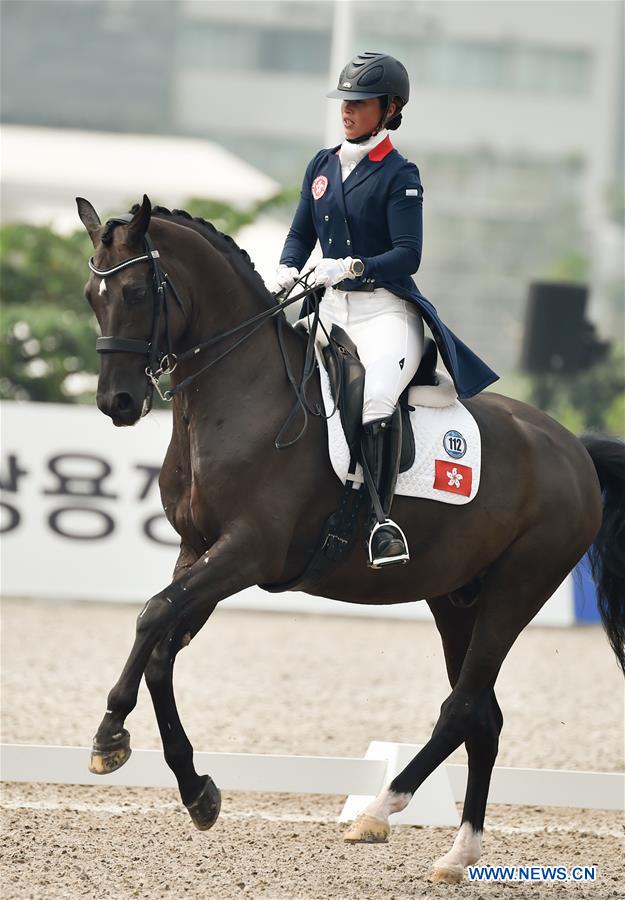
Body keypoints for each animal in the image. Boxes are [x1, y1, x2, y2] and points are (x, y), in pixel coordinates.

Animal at [78, 195, 624, 880]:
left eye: (135, 291)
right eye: (91, 296)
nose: (117, 403)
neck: (241, 396)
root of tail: (574, 448)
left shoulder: (247, 552)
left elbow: (152, 618)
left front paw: (108, 737)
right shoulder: (198, 552)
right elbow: (161, 645)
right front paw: (195, 789)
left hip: (517, 587)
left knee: (462, 706)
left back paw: (378, 812)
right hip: (456, 596)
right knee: (483, 713)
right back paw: (458, 853)